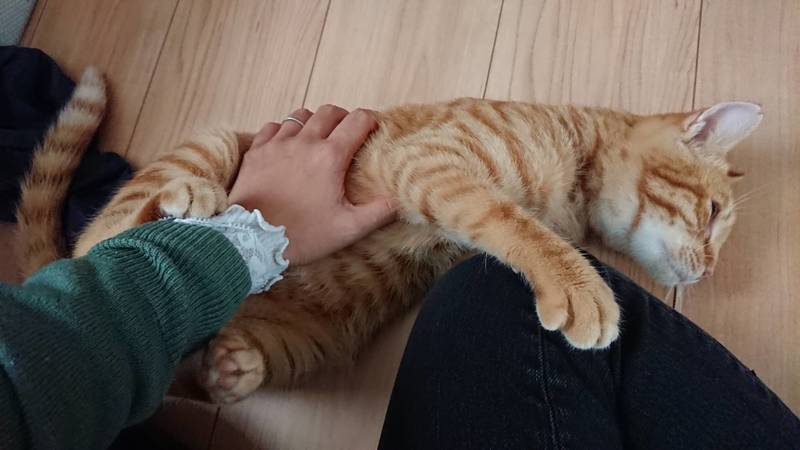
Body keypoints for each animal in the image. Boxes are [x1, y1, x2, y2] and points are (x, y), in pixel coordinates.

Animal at [16, 67, 762, 404]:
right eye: (713, 212)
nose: (711, 270)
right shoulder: (432, 161)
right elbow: (510, 219)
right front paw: (579, 285)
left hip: (316, 333)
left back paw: (231, 366)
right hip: (216, 144)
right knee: (103, 234)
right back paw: (184, 198)